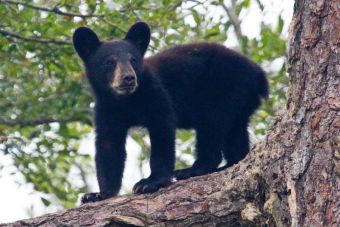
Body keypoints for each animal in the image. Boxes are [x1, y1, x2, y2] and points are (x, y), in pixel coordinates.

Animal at [73, 21, 268, 203]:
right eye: (109, 62)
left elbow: (162, 131)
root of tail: (257, 72)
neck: (126, 101)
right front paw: (98, 194)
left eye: (133, 60)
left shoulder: (155, 93)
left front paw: (150, 182)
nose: (128, 78)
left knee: (211, 125)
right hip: (240, 99)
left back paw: (191, 170)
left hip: (223, 88)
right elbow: (108, 147)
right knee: (235, 132)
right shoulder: (106, 110)